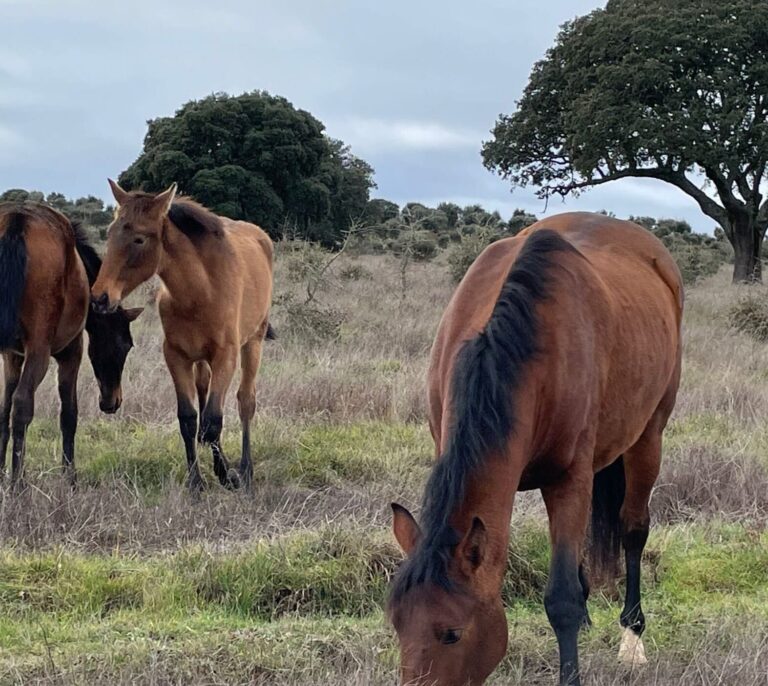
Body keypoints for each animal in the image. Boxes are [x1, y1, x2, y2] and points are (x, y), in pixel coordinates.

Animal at [0, 204, 142, 490]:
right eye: (125, 345)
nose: (113, 402)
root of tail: (17, 219)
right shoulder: (71, 353)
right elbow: (69, 415)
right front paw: (70, 478)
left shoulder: (12, 357)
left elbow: (3, 411)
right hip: (40, 354)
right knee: (23, 406)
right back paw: (18, 486)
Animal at [91, 181, 274, 494]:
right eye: (111, 231)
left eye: (139, 239)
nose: (100, 297)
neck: (200, 290)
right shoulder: (176, 356)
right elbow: (190, 419)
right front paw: (196, 482)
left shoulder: (226, 356)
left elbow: (213, 420)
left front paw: (228, 475)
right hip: (200, 360)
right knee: (204, 394)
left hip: (254, 343)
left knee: (245, 401)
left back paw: (246, 470)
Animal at [390, 214, 684, 686]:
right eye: (396, 623)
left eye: (452, 633)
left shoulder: (568, 479)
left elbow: (561, 599)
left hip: (649, 435)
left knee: (634, 529)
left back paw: (632, 638)